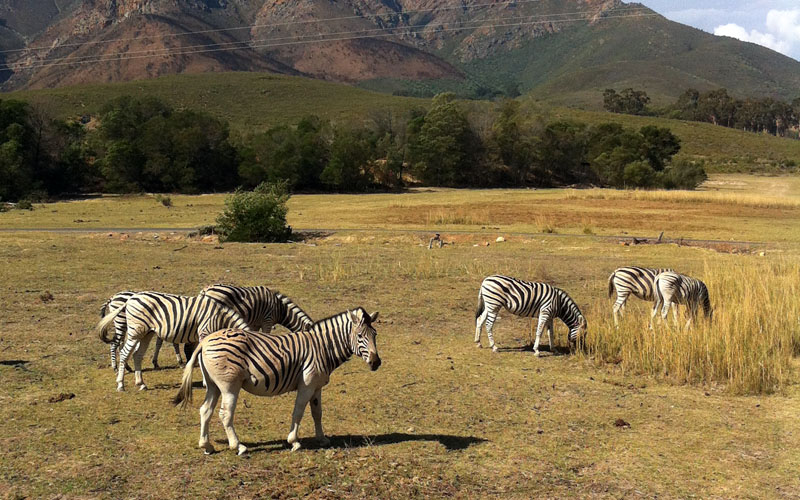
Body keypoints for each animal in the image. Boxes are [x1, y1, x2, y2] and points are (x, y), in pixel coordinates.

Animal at [99, 292, 252, 392]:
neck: (220, 318)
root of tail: (129, 299)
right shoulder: (204, 333)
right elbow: (202, 358)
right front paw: (206, 382)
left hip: (146, 333)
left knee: (137, 355)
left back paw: (141, 383)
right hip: (135, 331)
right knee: (124, 353)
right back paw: (120, 384)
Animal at [173, 306, 380, 456]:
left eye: (375, 334)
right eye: (360, 336)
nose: (376, 362)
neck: (322, 348)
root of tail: (205, 341)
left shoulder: (317, 387)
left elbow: (317, 413)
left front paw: (321, 439)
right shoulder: (306, 385)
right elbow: (298, 413)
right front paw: (294, 442)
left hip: (213, 385)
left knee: (205, 410)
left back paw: (206, 446)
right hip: (229, 386)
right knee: (225, 414)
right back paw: (238, 446)